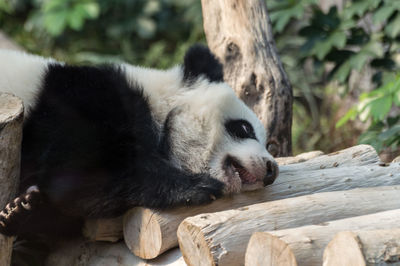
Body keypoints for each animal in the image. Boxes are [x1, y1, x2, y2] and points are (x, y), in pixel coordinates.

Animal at [0, 44, 278, 238]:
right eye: (244, 128)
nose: (271, 170)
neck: (158, 105)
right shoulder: (86, 103)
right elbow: (75, 177)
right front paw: (196, 187)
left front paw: (22, 210)